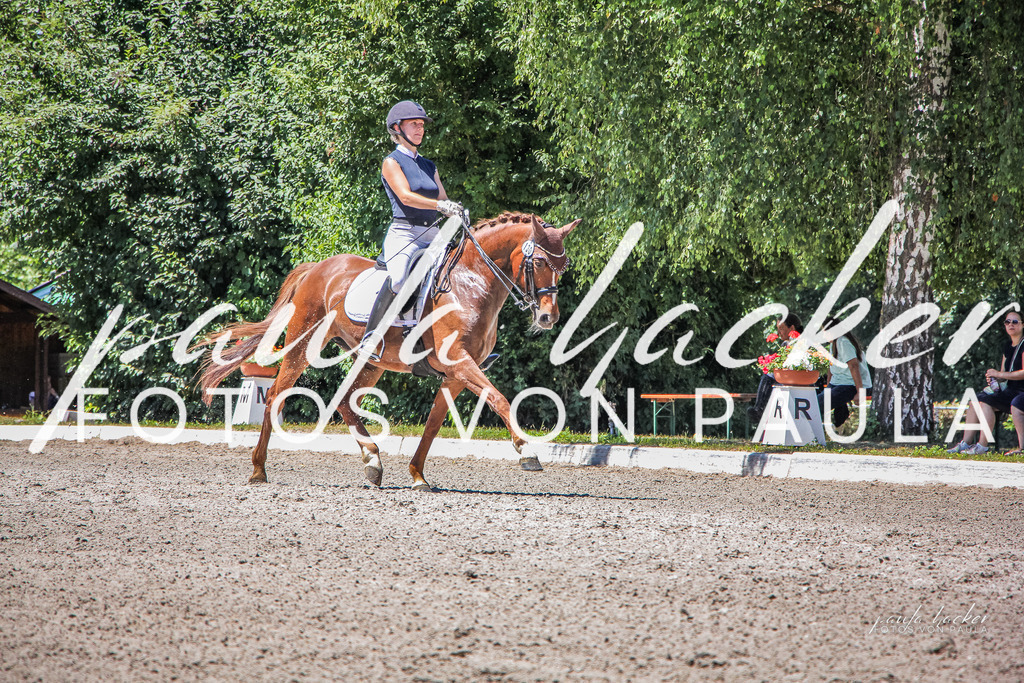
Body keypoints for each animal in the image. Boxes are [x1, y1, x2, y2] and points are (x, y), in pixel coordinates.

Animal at [198, 212, 580, 490]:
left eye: (563, 267)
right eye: (540, 262)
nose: (548, 317)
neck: (470, 283)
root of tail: (316, 268)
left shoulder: (455, 373)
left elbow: (434, 422)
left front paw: (418, 475)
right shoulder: (460, 362)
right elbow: (499, 398)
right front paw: (526, 451)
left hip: (373, 362)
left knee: (344, 400)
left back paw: (372, 461)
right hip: (304, 344)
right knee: (277, 394)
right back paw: (258, 470)